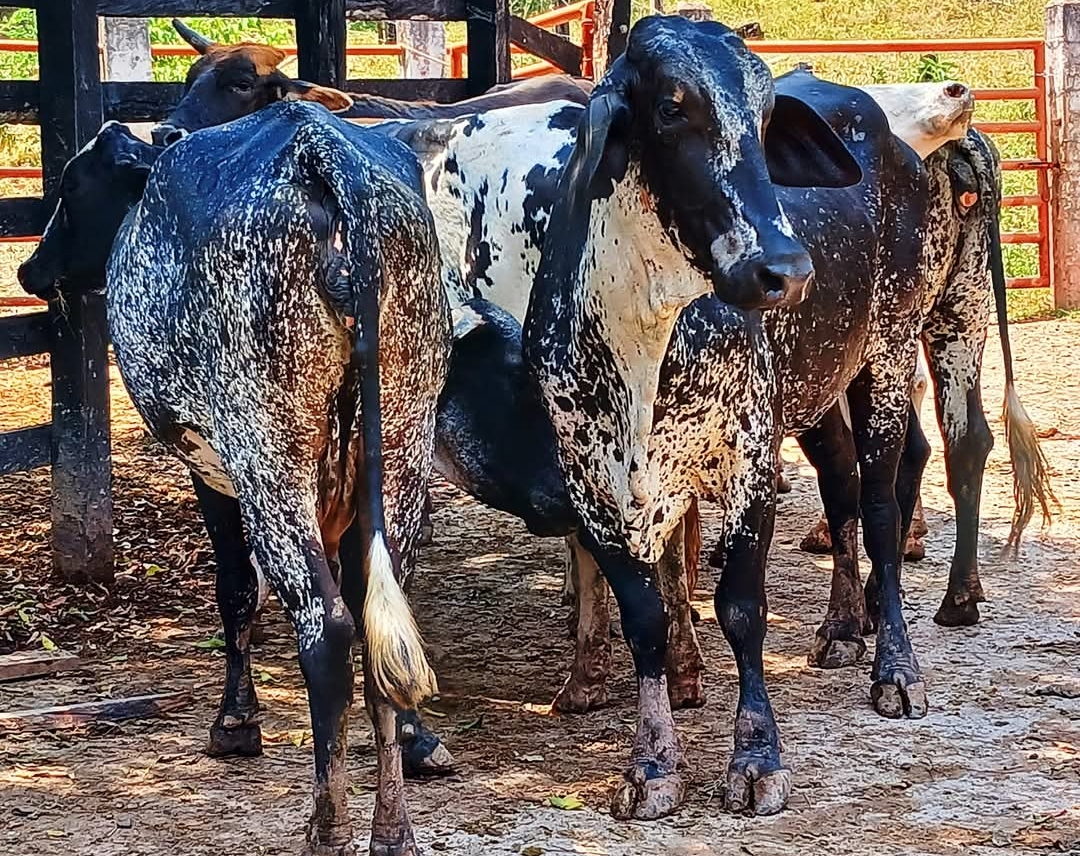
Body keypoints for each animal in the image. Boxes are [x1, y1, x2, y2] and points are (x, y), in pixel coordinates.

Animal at [18, 105, 451, 856]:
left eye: (72, 185)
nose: (29, 266)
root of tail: (319, 151)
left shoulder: (211, 471)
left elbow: (235, 591)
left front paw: (235, 723)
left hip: (267, 462)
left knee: (328, 629)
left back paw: (327, 827)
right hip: (400, 452)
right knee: (376, 632)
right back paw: (392, 829)